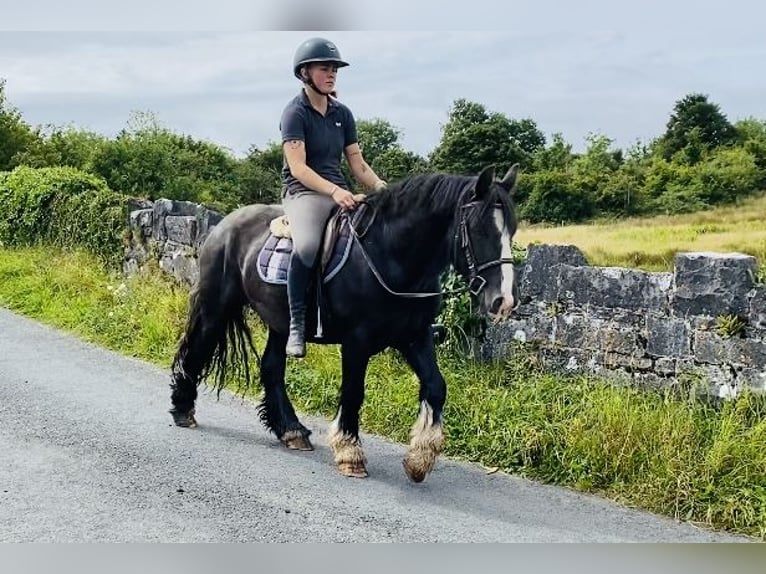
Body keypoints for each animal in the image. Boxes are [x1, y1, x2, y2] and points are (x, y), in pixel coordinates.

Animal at [170, 164, 520, 484]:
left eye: (511, 231)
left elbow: (436, 386)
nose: (503, 302)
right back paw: (183, 409)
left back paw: (291, 430)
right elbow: (354, 392)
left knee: (270, 367)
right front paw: (350, 453)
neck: (389, 257)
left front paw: (420, 458)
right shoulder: (357, 341)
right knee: (197, 346)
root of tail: (225, 224)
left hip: (281, 323)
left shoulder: (415, 336)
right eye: (480, 229)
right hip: (216, 305)